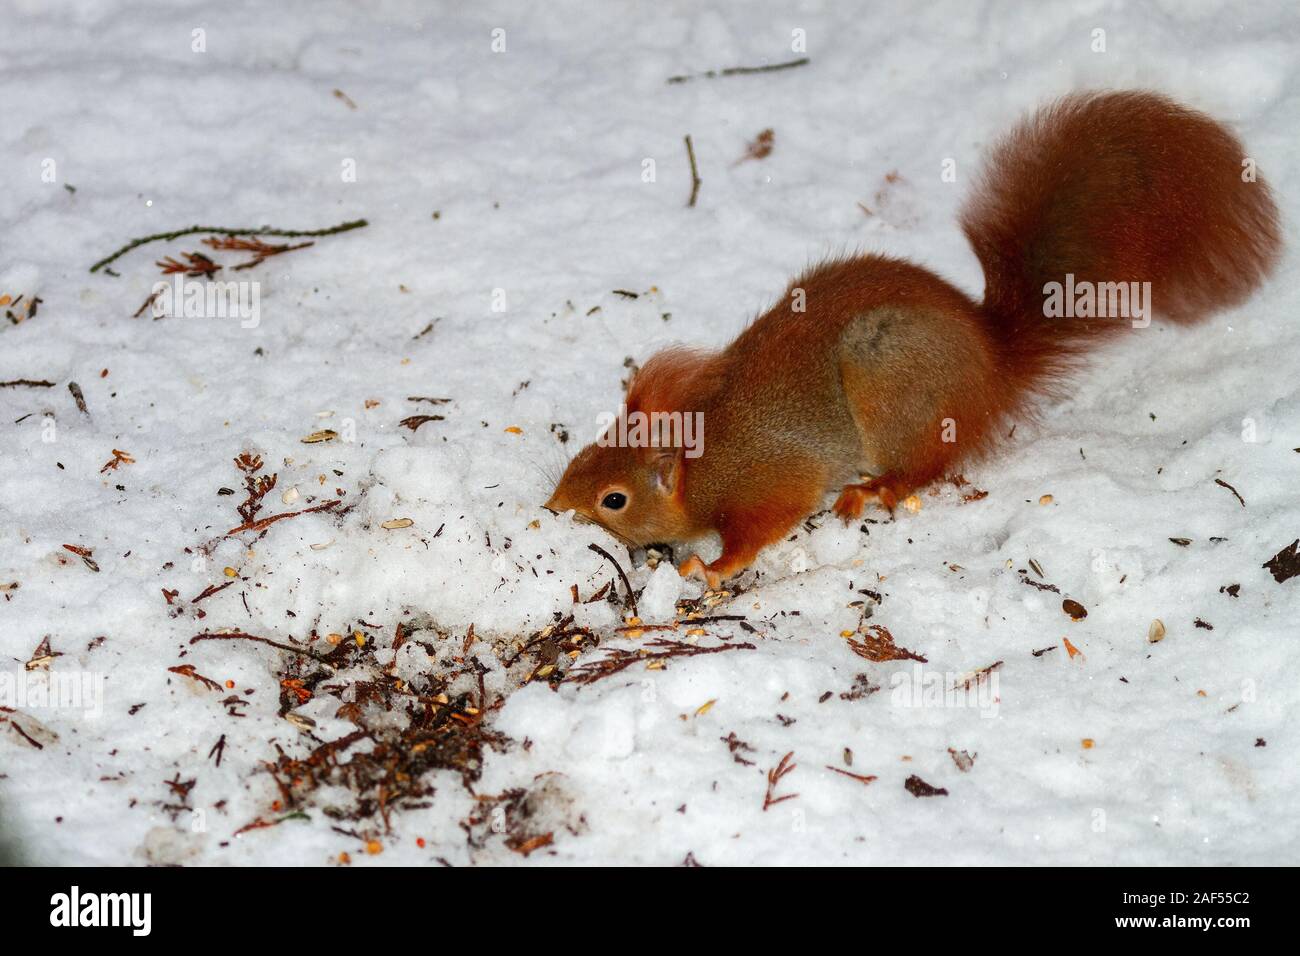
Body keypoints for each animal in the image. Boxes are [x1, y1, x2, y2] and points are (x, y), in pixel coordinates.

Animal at [546, 91, 1282, 589]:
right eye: (580, 455)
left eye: (614, 499)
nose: (553, 510)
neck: (702, 461)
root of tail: (991, 361)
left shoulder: (766, 480)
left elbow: (762, 527)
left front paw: (711, 567)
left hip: (888, 376)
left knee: (929, 463)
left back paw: (876, 490)